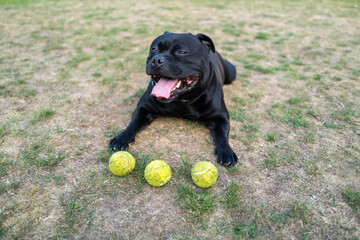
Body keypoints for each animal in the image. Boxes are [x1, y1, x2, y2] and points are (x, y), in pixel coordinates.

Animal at [109, 31, 239, 166]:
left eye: (181, 52)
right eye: (154, 49)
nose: (157, 60)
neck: (182, 100)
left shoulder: (220, 117)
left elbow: (222, 135)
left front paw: (226, 151)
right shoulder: (144, 108)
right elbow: (133, 123)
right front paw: (122, 137)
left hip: (231, 74)